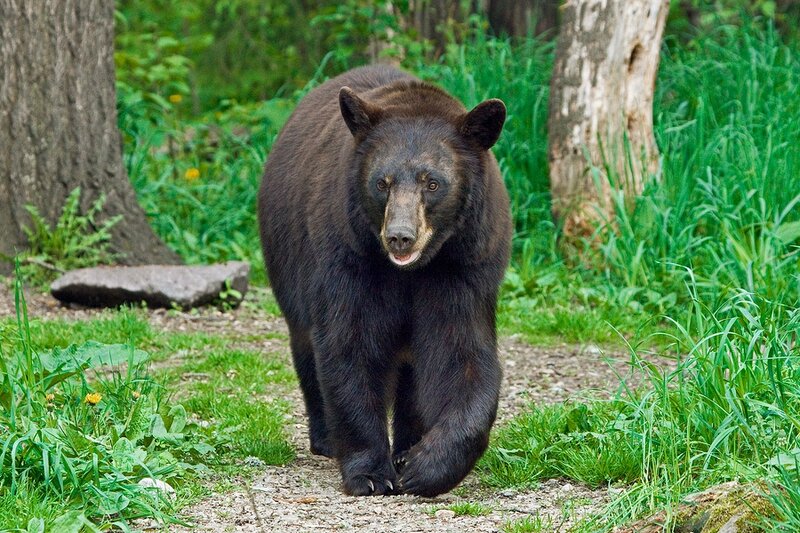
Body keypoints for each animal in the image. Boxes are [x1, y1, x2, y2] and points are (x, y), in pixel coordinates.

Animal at [257, 64, 511, 497]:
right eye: (382, 182)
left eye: (432, 182)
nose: (399, 236)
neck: (411, 270)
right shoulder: (349, 257)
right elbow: (349, 343)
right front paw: (371, 472)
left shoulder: (464, 264)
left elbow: (462, 353)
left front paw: (426, 465)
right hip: (287, 257)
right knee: (306, 343)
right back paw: (326, 438)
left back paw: (407, 444)